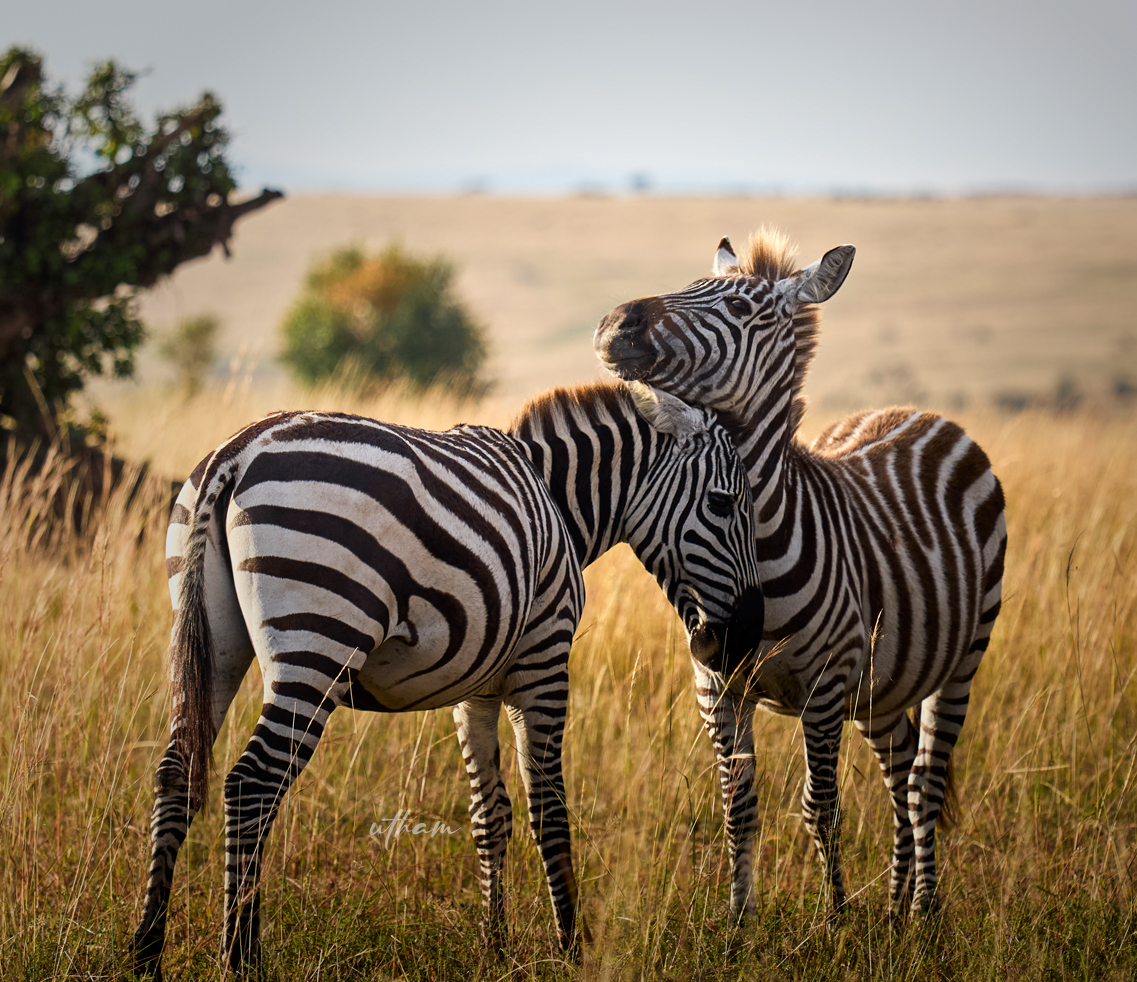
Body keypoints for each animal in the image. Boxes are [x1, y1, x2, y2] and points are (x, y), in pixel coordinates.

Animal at [130, 381, 764, 977]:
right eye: (723, 503)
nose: (747, 637)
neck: (558, 500)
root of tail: (238, 452)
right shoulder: (544, 660)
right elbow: (548, 810)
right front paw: (570, 950)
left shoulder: (477, 689)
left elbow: (491, 815)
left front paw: (495, 948)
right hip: (318, 642)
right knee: (251, 784)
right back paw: (240, 958)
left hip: (215, 639)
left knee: (177, 773)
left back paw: (145, 952)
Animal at [594, 230, 1007, 921]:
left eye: (740, 310)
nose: (611, 323)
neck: (756, 546)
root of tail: (918, 413)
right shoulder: (716, 688)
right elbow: (738, 808)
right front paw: (738, 921)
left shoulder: (824, 685)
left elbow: (821, 809)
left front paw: (833, 919)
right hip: (879, 684)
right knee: (900, 766)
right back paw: (894, 908)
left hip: (962, 659)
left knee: (925, 780)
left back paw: (923, 909)